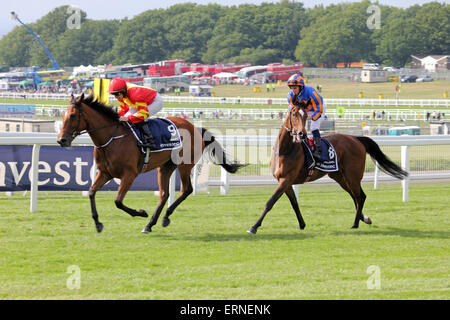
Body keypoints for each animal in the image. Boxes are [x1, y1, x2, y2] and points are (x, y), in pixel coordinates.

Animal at [58, 94, 244, 234]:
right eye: (62, 115)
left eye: (73, 116)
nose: (61, 140)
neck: (112, 138)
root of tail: (196, 128)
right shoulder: (105, 173)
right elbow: (91, 192)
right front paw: (98, 223)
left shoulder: (129, 174)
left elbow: (118, 201)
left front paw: (141, 212)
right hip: (165, 167)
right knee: (164, 194)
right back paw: (150, 224)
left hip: (184, 165)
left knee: (186, 190)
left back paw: (165, 217)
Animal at [246, 106, 408, 234]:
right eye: (294, 114)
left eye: (306, 116)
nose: (302, 134)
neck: (285, 150)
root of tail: (356, 139)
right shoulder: (285, 181)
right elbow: (294, 203)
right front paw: (302, 224)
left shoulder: (286, 179)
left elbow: (270, 202)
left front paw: (254, 227)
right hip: (340, 177)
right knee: (356, 197)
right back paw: (364, 218)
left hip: (352, 176)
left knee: (360, 197)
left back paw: (355, 224)